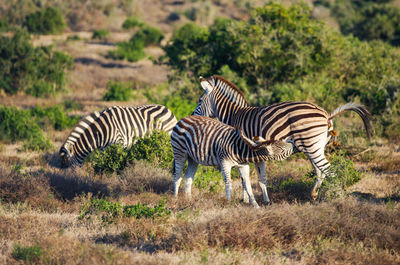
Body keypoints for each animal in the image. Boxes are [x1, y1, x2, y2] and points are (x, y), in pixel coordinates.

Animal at [194, 75, 372, 201]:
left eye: (200, 101)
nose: (192, 116)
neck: (234, 116)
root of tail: (327, 114)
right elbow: (258, 178)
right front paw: (258, 200)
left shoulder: (241, 149)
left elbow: (246, 178)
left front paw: (246, 200)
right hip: (315, 147)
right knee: (320, 171)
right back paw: (314, 195)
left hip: (311, 145)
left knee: (330, 171)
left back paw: (337, 196)